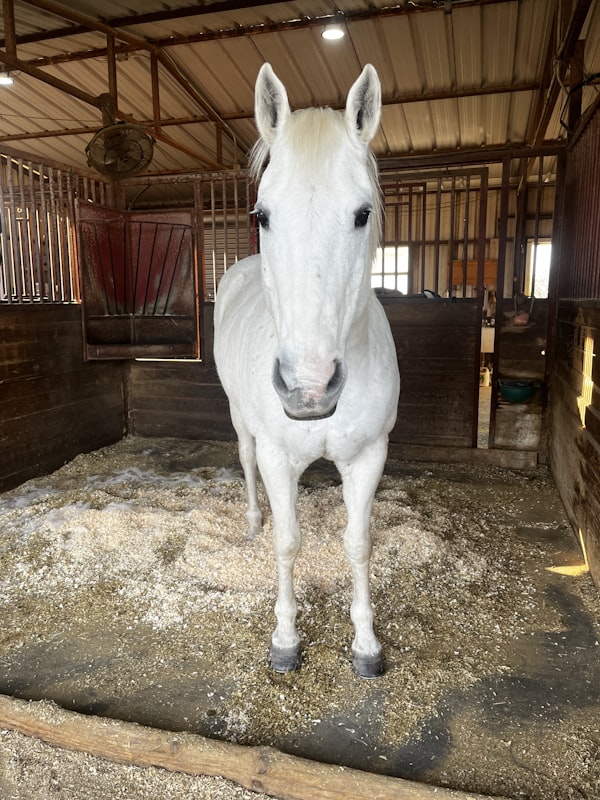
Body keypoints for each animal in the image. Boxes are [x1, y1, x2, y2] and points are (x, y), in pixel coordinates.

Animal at [214, 63, 400, 678]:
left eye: (362, 213)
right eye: (262, 215)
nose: (308, 387)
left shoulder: (368, 456)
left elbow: (358, 543)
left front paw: (366, 647)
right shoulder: (277, 456)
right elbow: (288, 542)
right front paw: (286, 641)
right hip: (239, 420)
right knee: (245, 462)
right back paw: (251, 523)